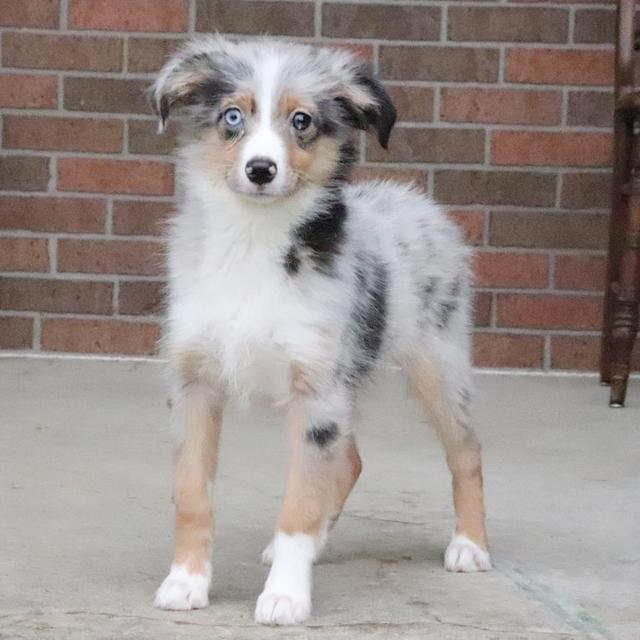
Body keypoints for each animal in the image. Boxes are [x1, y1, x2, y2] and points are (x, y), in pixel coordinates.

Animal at [151, 33, 490, 624]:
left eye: (302, 120)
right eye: (232, 116)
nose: (261, 169)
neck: (253, 240)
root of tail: (417, 201)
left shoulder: (315, 390)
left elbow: (300, 501)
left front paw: (286, 596)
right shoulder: (195, 383)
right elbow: (192, 493)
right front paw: (186, 582)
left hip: (436, 362)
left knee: (465, 449)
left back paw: (469, 545)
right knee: (349, 460)